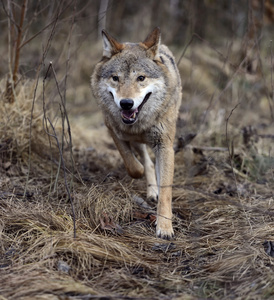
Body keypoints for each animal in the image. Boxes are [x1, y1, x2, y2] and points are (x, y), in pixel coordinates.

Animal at [91, 27, 182, 239]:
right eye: (115, 78)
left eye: (141, 78)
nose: (126, 103)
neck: (140, 125)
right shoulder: (113, 130)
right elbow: (132, 165)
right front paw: (139, 170)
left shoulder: (165, 146)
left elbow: (166, 192)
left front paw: (164, 227)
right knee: (146, 160)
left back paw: (153, 192)